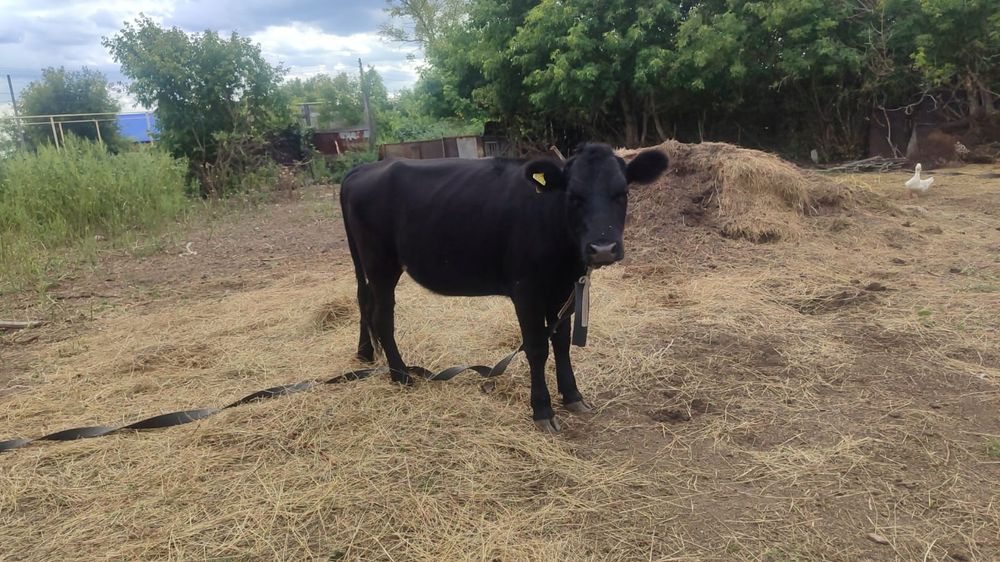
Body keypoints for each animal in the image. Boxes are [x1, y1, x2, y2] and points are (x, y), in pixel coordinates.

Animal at [339, 143, 669, 432]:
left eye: (622, 194)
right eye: (573, 196)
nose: (602, 249)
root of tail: (364, 168)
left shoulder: (562, 290)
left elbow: (561, 342)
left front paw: (572, 396)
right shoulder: (526, 290)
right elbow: (536, 348)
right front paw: (542, 410)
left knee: (364, 302)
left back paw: (367, 355)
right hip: (382, 265)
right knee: (382, 316)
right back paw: (400, 375)